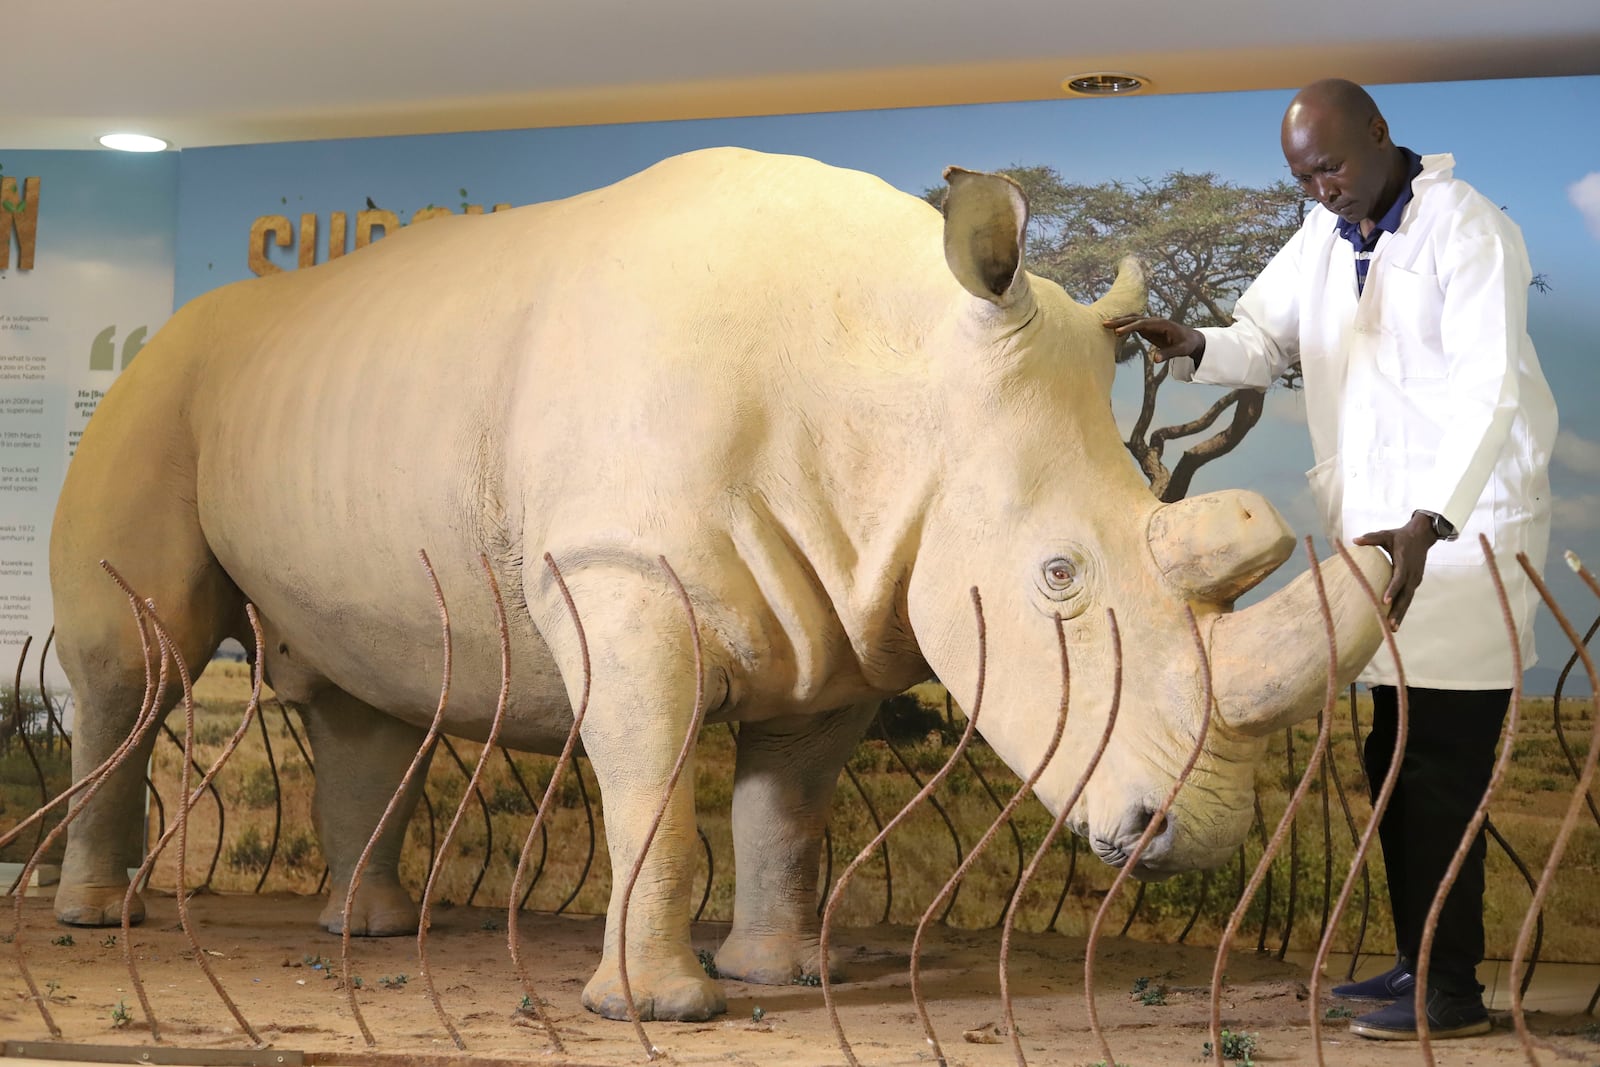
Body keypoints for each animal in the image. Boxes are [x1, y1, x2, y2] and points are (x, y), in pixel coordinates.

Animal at [43, 146, 1382, 1023]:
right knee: (133, 664)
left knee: (366, 688)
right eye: (1057, 575)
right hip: (154, 391)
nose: (1182, 837)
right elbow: (654, 786)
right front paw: (654, 1009)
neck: (892, 369)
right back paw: (95, 921)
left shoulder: (851, 603)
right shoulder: (617, 569)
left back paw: (365, 930)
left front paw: (780, 978)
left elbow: (788, 808)